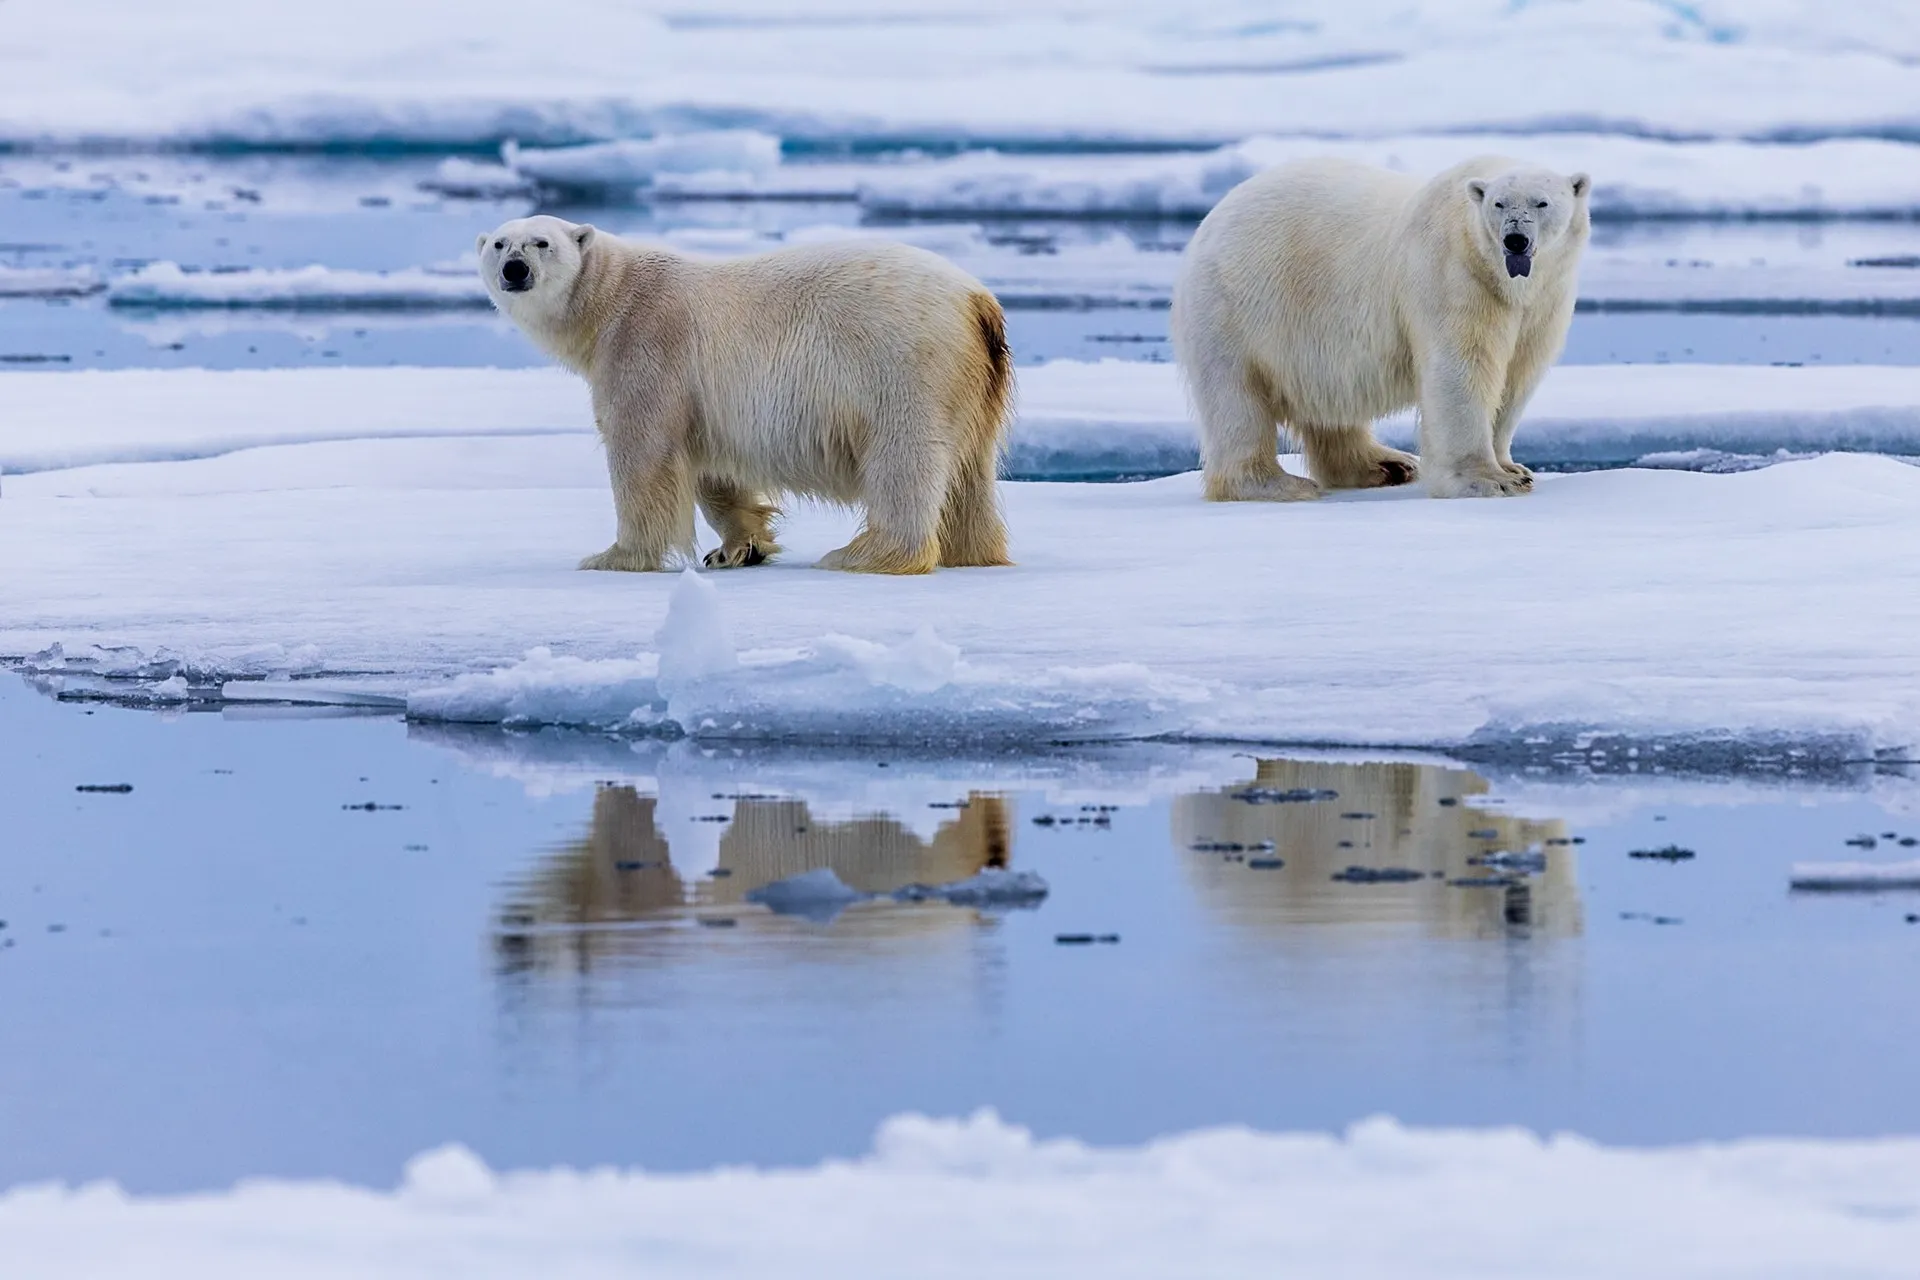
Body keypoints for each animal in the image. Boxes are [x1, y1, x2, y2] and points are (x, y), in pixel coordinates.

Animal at [478, 215, 1013, 574]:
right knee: (970, 471)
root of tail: (977, 302)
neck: (611, 297)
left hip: (903, 365)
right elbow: (711, 465)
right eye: (499, 243)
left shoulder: (646, 343)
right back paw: (974, 552)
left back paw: (863, 553)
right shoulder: (701, 395)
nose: (515, 269)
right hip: (971, 383)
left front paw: (614, 557)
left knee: (903, 456)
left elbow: (643, 452)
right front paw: (738, 548)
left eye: (542, 242)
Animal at [1170, 156, 1590, 501]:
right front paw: (1489, 480)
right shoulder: (1452, 274)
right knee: (1237, 400)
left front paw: (1513, 468)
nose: (1515, 240)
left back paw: (1386, 465)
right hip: (1235, 309)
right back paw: (1276, 484)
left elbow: (1519, 374)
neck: (1504, 279)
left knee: (1328, 404)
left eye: (1542, 202)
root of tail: (1208, 223)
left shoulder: (1545, 299)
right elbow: (1463, 368)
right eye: (1499, 204)